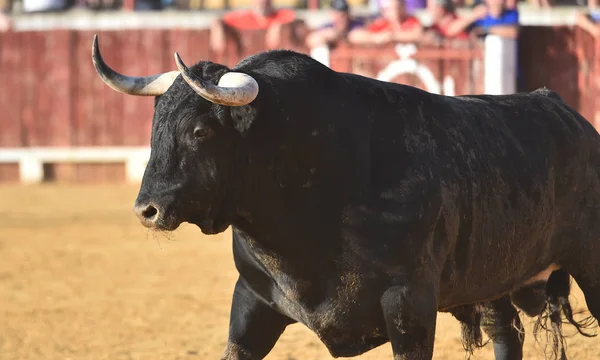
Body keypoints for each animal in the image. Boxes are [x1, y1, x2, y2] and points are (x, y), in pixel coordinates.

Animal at [91, 38, 596, 358]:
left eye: (199, 131)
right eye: (154, 128)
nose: (147, 209)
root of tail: (570, 115)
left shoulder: (409, 302)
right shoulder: (252, 300)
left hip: (589, 267)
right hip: (495, 281)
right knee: (506, 337)